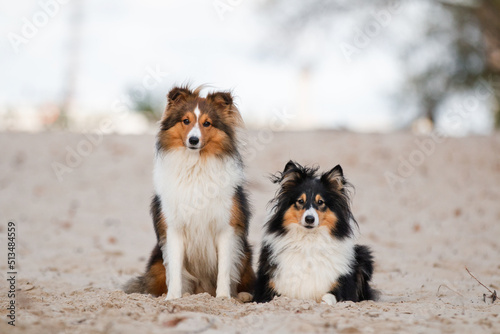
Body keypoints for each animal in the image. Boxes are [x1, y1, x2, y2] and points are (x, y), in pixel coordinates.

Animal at [124, 85, 256, 300]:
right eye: (186, 121)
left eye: (207, 123)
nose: (193, 140)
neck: (196, 166)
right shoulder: (173, 228)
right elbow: (175, 268)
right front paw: (173, 297)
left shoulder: (226, 228)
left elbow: (225, 269)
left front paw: (223, 298)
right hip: (157, 262)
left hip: (245, 253)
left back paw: (242, 296)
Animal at [254, 162, 376, 306]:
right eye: (300, 201)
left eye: (320, 202)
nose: (309, 219)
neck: (308, 240)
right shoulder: (267, 291)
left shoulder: (344, 291)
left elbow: (329, 297)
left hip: (363, 255)